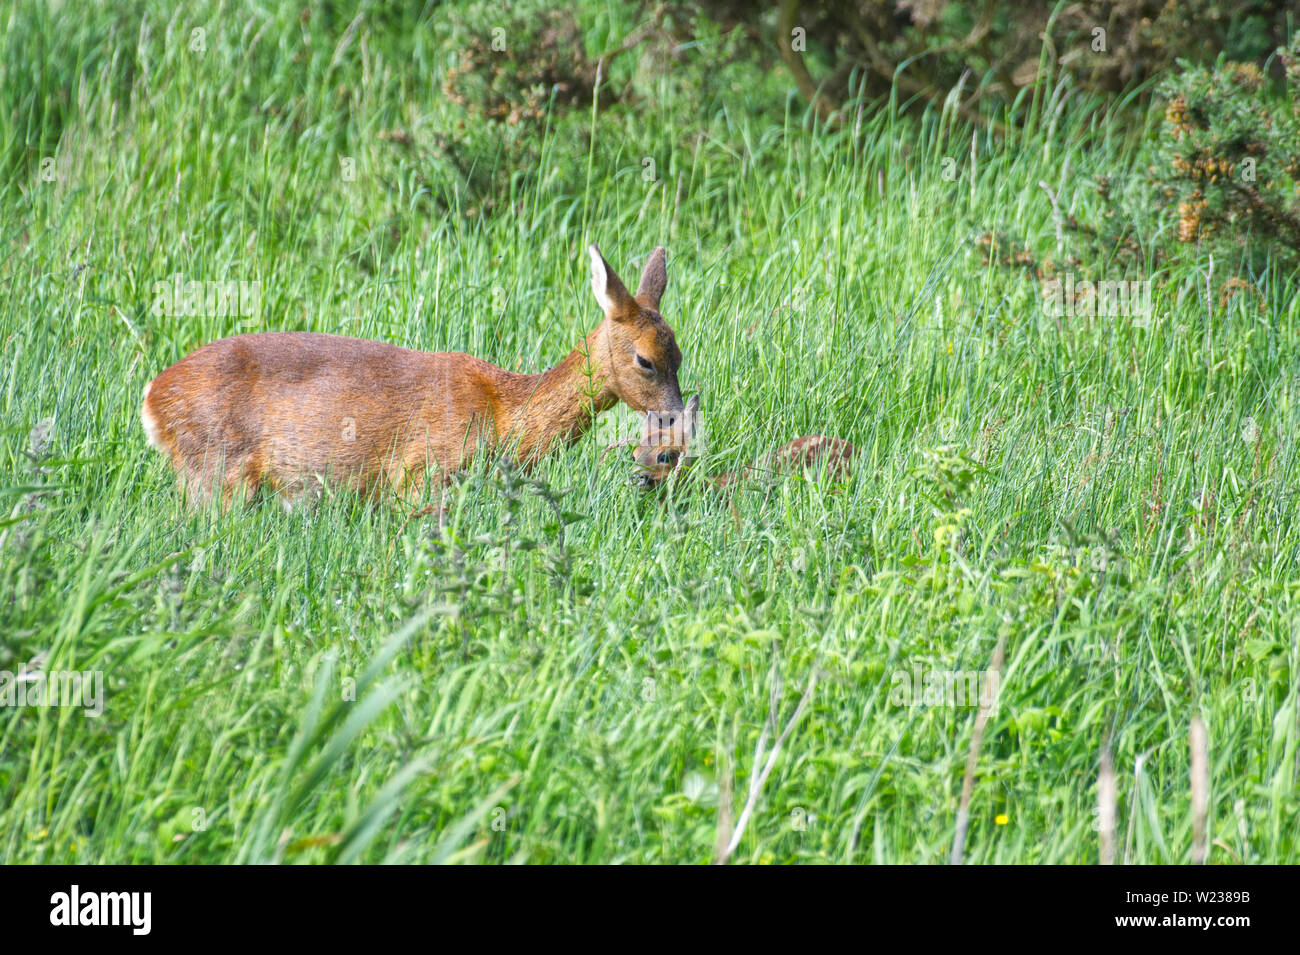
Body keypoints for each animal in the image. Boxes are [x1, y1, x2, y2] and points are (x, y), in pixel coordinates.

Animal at [141, 245, 686, 509]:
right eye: (645, 360)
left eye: (679, 353)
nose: (676, 423)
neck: (504, 412)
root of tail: (151, 399)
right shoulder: (421, 472)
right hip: (217, 467)